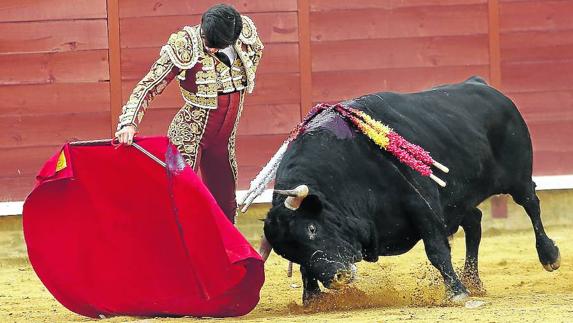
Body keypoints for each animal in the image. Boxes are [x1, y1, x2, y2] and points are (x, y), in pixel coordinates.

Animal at [262, 77, 560, 306]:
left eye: (312, 228)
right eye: (289, 253)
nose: (337, 278)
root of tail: (481, 84)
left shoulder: (422, 204)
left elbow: (437, 251)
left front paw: (456, 293)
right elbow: (305, 269)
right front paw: (312, 298)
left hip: (517, 177)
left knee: (531, 204)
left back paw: (549, 256)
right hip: (456, 200)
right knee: (475, 222)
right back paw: (473, 280)